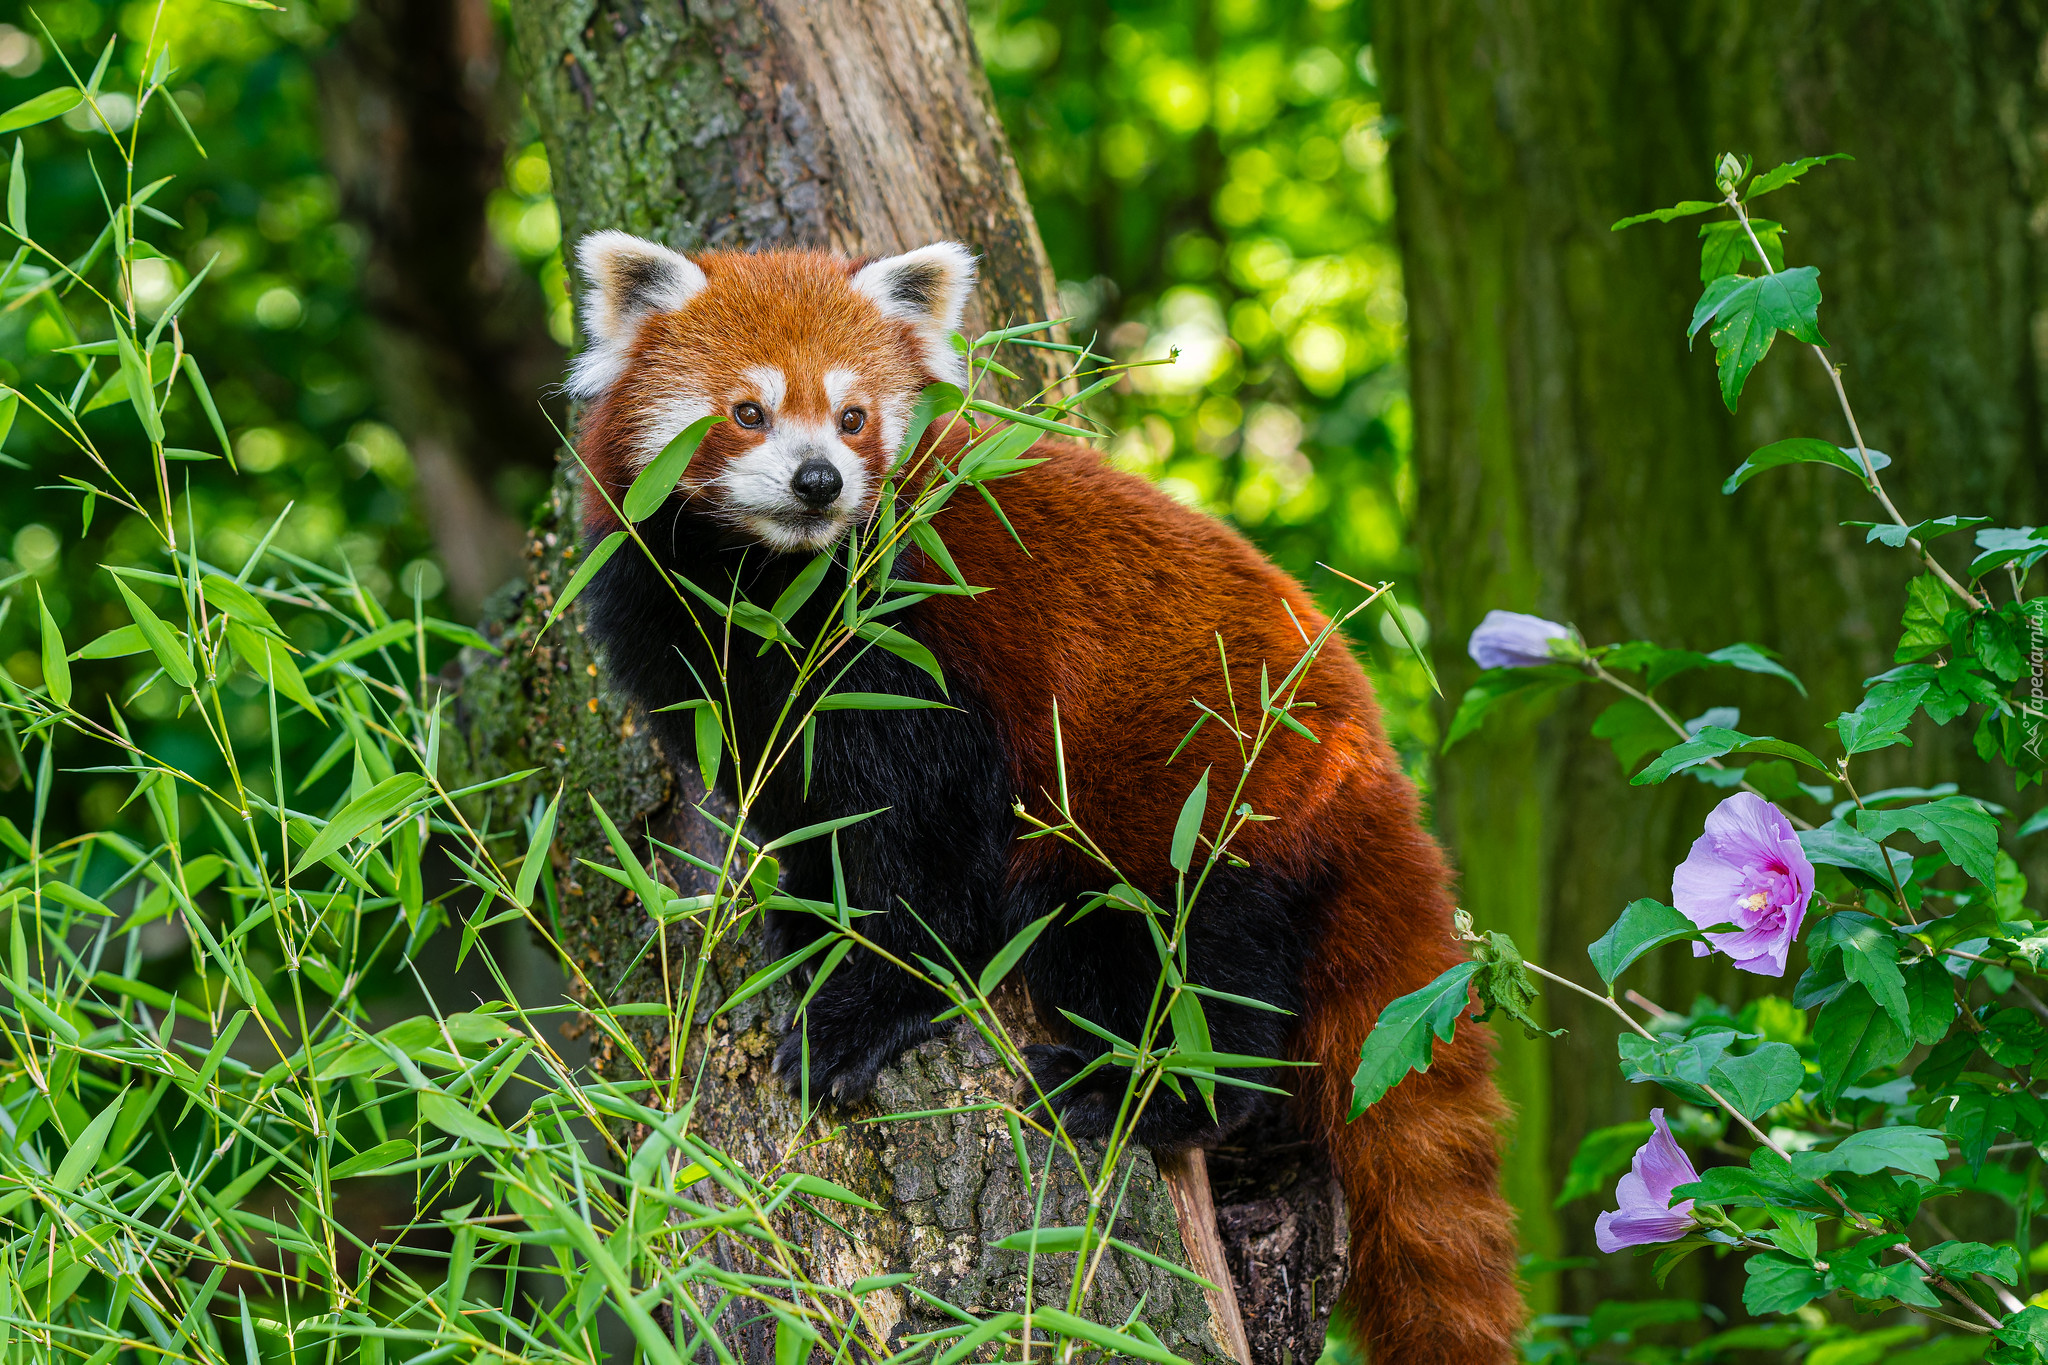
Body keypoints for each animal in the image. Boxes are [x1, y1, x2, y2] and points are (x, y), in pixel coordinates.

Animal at [561, 229, 1523, 1358]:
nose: (819, 481)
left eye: (852, 416)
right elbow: (807, 809)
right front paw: (806, 920)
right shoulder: (688, 636)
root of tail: (1369, 761)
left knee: (1188, 963)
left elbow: (928, 855)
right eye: (747, 410)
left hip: (1191, 806)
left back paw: (1140, 1090)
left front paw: (866, 1008)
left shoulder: (924, 642)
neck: (768, 584)